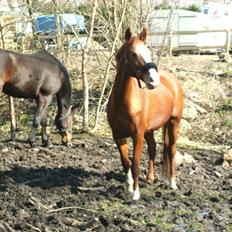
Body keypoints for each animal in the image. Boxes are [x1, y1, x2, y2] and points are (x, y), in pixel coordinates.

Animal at [107, 28, 185, 200]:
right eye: (133, 54)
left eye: (148, 52)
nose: (153, 81)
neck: (123, 102)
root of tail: (173, 81)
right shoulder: (118, 136)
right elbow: (126, 162)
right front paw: (129, 187)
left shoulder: (137, 135)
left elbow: (135, 163)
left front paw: (136, 194)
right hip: (149, 129)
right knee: (153, 148)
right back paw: (150, 178)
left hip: (173, 123)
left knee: (171, 151)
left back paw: (173, 183)